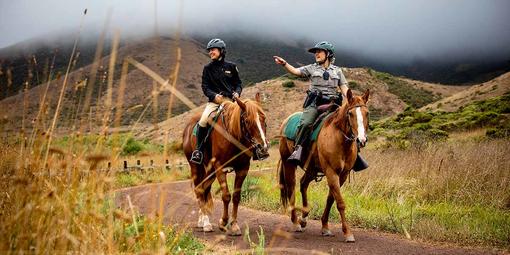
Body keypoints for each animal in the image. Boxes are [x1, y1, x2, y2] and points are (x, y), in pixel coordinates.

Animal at [183, 93, 270, 235]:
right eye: (247, 121)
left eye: (264, 119)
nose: (263, 148)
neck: (233, 135)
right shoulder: (220, 168)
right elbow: (226, 196)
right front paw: (223, 222)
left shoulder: (242, 169)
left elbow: (236, 197)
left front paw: (234, 225)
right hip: (195, 167)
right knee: (199, 189)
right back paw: (205, 223)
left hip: (210, 170)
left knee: (205, 189)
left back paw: (202, 220)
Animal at [278, 88, 370, 242]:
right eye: (350, 114)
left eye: (367, 113)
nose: (361, 140)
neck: (340, 140)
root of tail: (286, 121)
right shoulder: (331, 172)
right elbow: (340, 203)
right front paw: (348, 233)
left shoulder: (342, 175)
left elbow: (331, 199)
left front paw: (325, 227)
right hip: (288, 163)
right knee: (291, 187)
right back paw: (296, 222)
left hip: (312, 168)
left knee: (303, 184)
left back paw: (304, 217)